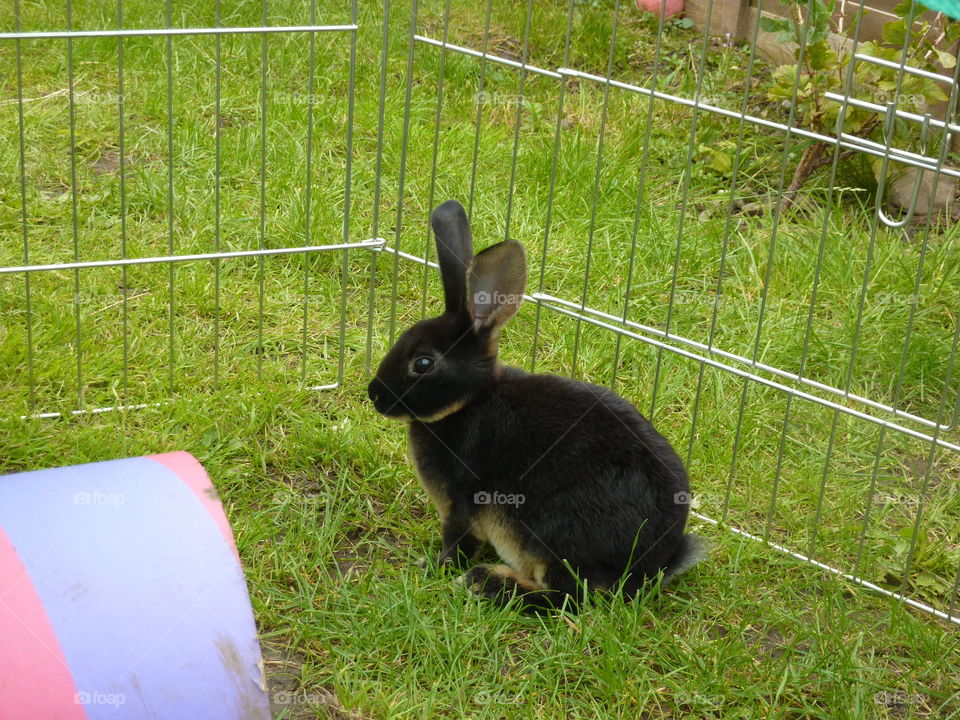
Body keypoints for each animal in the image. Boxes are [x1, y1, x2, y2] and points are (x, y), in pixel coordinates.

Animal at [367, 199, 706, 611]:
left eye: (423, 363)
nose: (375, 395)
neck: (469, 402)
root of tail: (648, 570)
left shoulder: (461, 500)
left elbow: (458, 542)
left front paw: (433, 566)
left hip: (551, 537)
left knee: (569, 598)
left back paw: (487, 583)